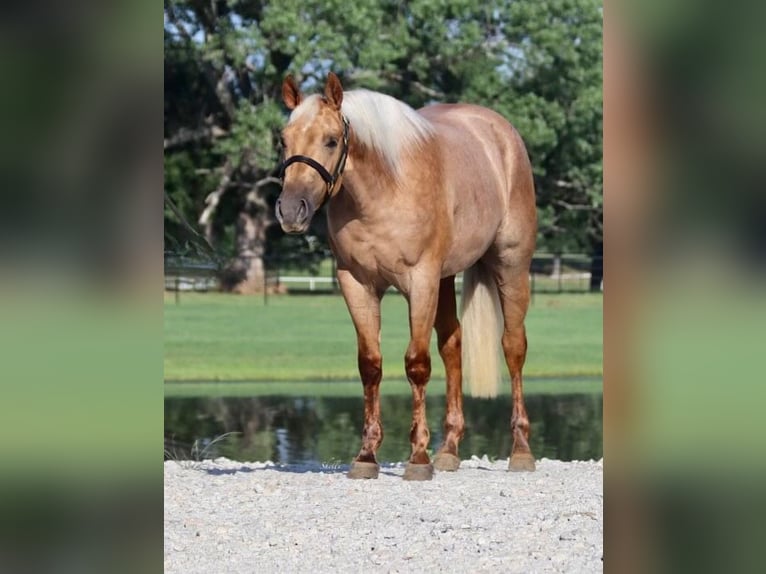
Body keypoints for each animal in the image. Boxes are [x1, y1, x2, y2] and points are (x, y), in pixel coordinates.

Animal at [276, 73, 537, 480]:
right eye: (283, 140)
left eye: (331, 140)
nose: (291, 211)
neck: (384, 189)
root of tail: (501, 132)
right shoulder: (357, 284)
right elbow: (370, 365)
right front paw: (366, 456)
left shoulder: (421, 281)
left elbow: (417, 364)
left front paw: (418, 457)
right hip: (447, 279)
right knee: (453, 344)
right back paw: (448, 450)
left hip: (511, 265)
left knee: (513, 346)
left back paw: (521, 451)